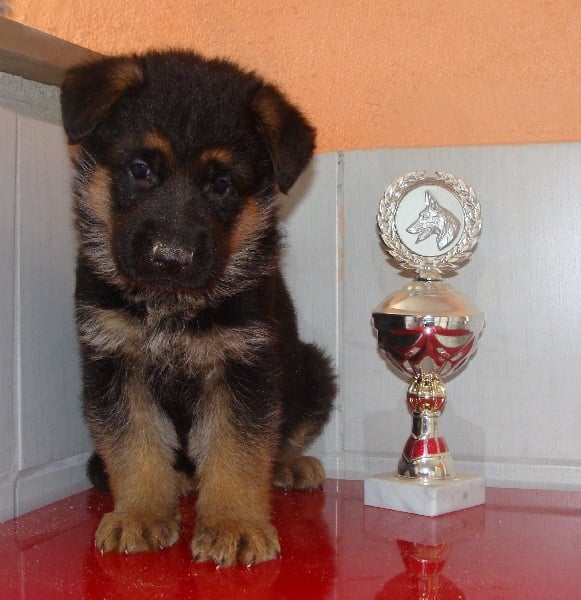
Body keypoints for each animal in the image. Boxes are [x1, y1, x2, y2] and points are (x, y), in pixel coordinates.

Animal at [60, 50, 334, 568]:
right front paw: (141, 514)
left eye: (221, 184)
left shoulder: (243, 365)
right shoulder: (115, 363)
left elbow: (237, 452)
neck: (170, 305)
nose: (171, 258)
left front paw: (234, 524)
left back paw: (289, 464)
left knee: (282, 437)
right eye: (141, 169)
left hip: (312, 368)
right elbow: (134, 446)